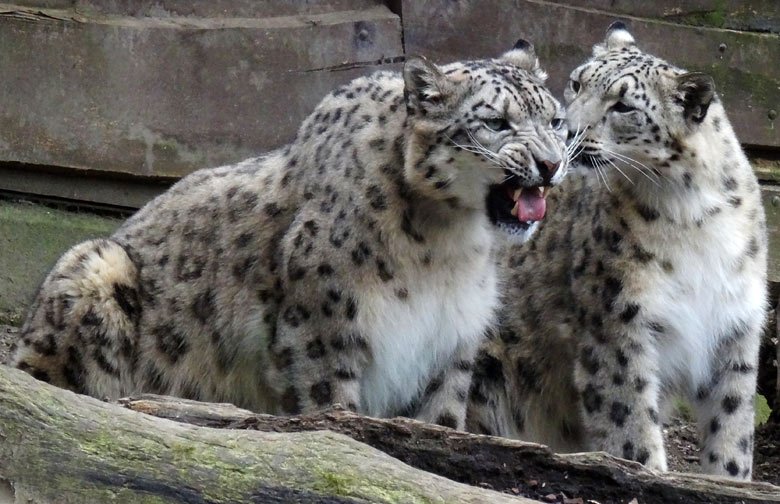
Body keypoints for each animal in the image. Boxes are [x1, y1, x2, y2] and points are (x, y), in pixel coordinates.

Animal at [13, 41, 568, 432]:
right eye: (496, 121)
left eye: (555, 119)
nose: (551, 163)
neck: (449, 247)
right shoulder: (322, 327)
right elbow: (330, 407)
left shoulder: (449, 345)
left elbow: (443, 421)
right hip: (95, 267)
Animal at [470, 22, 768, 480]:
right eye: (577, 83)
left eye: (624, 106)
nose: (567, 132)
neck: (693, 217)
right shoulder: (615, 323)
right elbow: (630, 421)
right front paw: (647, 473)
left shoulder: (734, 329)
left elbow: (732, 426)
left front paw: (730, 480)